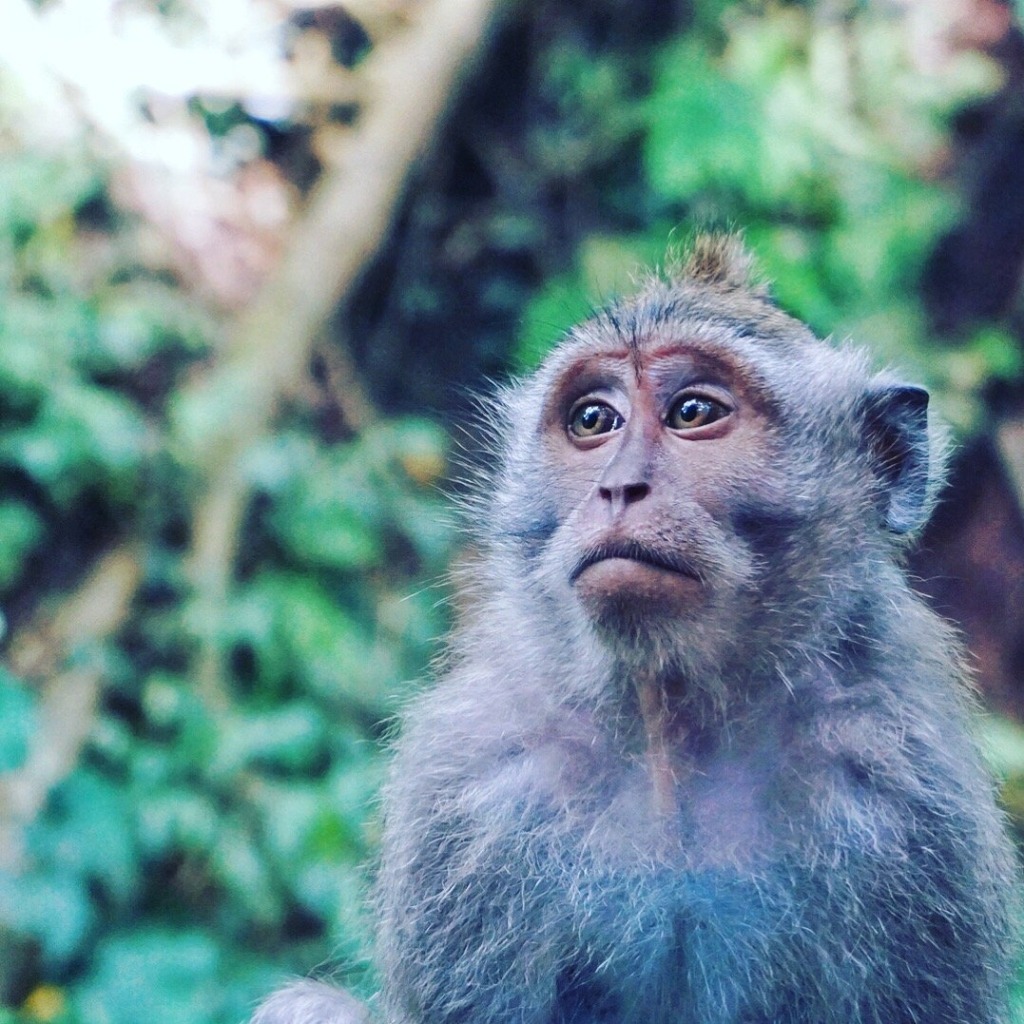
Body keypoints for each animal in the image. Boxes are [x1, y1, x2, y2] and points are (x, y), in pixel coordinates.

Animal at [250, 234, 1020, 1024]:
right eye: (594, 421)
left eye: (693, 411)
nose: (618, 487)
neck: (674, 730)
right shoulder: (470, 791)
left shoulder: (904, 801)